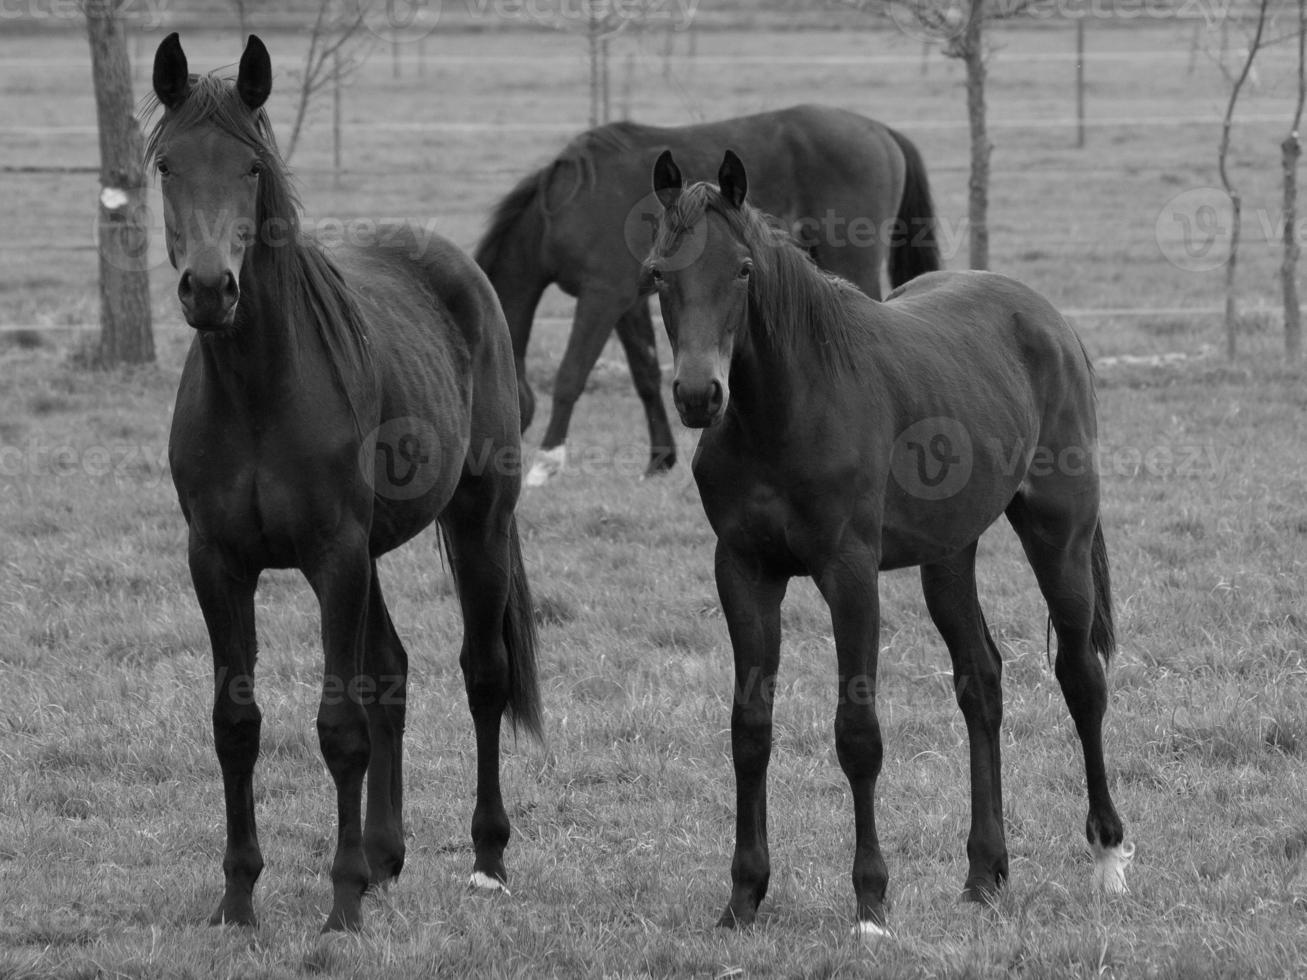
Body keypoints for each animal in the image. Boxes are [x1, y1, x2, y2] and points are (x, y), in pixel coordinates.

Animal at [148, 32, 541, 935]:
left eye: (251, 166)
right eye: (166, 165)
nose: (210, 288)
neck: (258, 390)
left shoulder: (333, 558)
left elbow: (339, 726)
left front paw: (340, 904)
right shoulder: (217, 562)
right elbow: (236, 724)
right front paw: (238, 898)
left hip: (476, 521)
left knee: (484, 672)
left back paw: (486, 860)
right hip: (374, 553)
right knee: (392, 670)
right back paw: (387, 857)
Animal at [475, 106, 946, 488]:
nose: (485, 460)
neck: (562, 208)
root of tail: (880, 130)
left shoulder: (601, 296)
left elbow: (570, 375)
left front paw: (546, 464)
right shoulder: (630, 300)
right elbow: (646, 373)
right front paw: (659, 461)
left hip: (852, 259)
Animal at [645, 151, 1134, 935]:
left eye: (743, 270)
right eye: (659, 272)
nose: (697, 396)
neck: (784, 412)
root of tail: (1049, 320)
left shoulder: (849, 574)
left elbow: (857, 732)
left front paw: (870, 900)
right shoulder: (744, 570)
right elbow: (749, 729)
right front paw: (743, 897)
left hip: (1059, 534)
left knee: (1081, 678)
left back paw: (1107, 859)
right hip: (948, 554)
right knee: (981, 681)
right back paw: (984, 873)